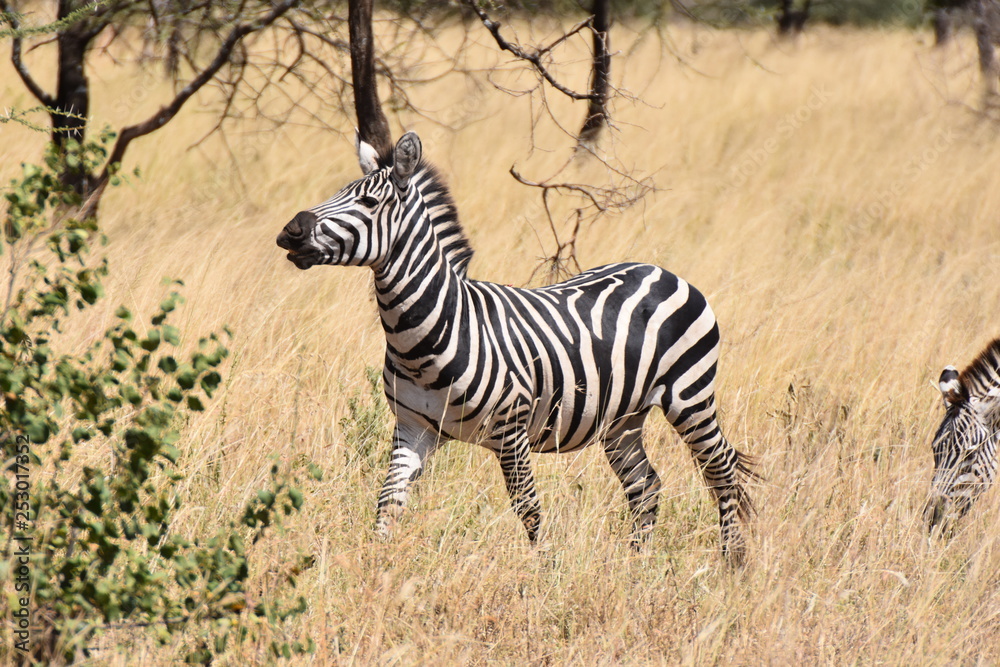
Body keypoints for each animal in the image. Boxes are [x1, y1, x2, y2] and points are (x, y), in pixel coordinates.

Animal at [276, 131, 756, 564]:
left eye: (369, 204)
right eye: (338, 192)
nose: (290, 231)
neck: (424, 340)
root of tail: (661, 270)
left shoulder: (512, 430)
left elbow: (528, 509)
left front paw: (540, 575)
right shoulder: (413, 429)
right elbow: (388, 502)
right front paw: (376, 567)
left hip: (690, 396)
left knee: (722, 467)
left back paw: (733, 563)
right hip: (622, 418)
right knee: (645, 485)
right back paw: (636, 566)